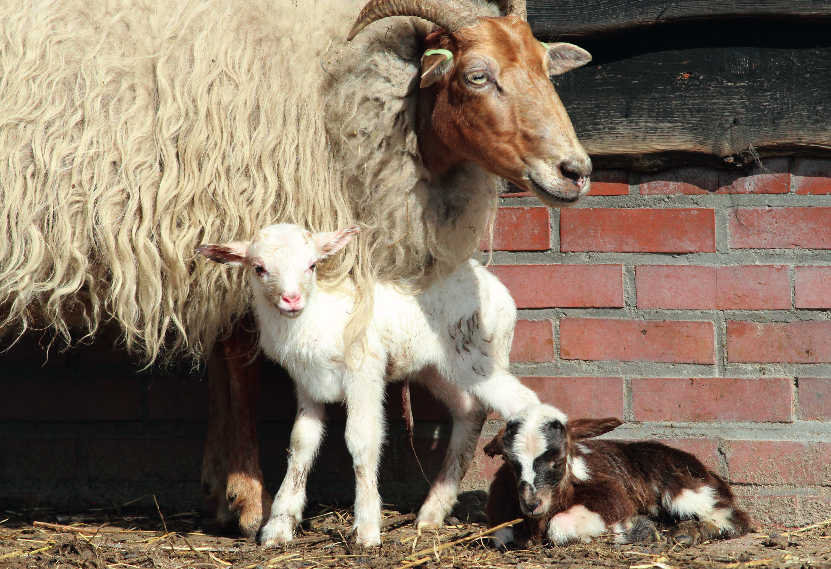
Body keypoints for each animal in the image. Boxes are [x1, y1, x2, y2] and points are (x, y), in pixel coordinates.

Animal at [198, 223, 544, 544]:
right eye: (258, 268)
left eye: (312, 265)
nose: (291, 299)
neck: (315, 317)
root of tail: (498, 288)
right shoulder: (307, 384)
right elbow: (300, 443)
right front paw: (278, 526)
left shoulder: (364, 371)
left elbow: (362, 439)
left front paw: (366, 529)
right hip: (437, 366)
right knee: (469, 413)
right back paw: (433, 511)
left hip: (476, 354)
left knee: (525, 401)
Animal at [484, 404, 752, 544]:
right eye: (509, 461)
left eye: (558, 459)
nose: (532, 503)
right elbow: (502, 534)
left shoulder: (611, 493)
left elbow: (560, 525)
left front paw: (632, 528)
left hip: (684, 489)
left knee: (735, 516)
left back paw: (688, 532)